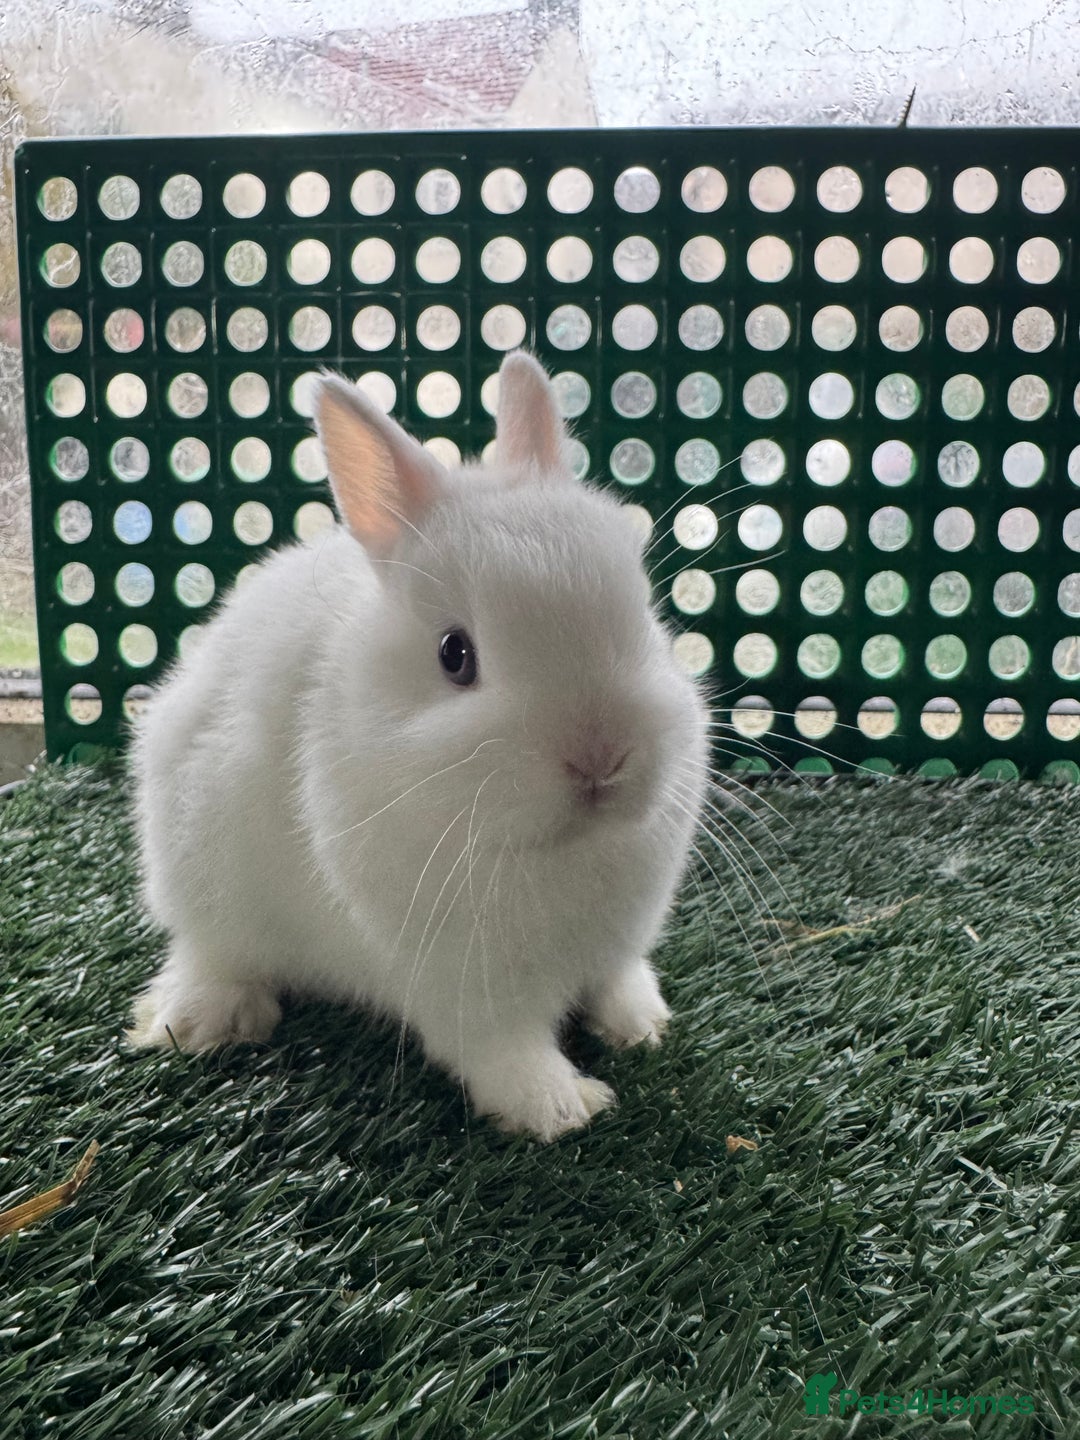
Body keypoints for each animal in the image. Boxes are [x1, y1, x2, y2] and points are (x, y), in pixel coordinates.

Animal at [129, 351, 710, 1142]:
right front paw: (562, 1110)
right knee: (209, 952)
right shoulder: (461, 988)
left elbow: (616, 982)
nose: (601, 758)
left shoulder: (615, 946)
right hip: (200, 879)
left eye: (644, 614)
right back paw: (204, 1021)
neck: (548, 848)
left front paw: (643, 1026)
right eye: (454, 655)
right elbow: (502, 1051)